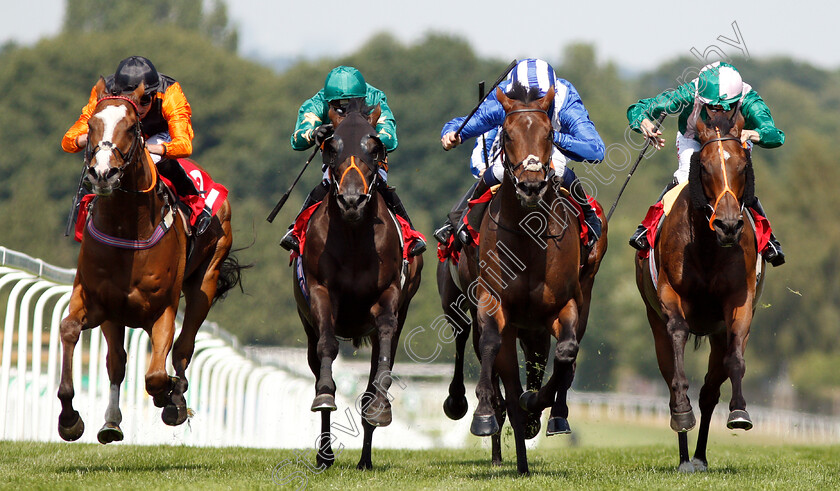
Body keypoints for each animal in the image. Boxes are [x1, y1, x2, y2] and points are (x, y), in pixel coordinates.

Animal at [57, 78, 243, 446]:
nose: (102, 173)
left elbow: (157, 374)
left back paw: (175, 397)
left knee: (183, 348)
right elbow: (70, 329)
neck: (128, 228)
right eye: (91, 124)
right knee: (117, 362)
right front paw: (70, 417)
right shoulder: (97, 301)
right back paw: (111, 422)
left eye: (131, 127)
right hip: (116, 316)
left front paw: (170, 397)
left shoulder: (163, 309)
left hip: (206, 281)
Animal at [292, 98, 424, 470]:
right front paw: (324, 394)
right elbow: (327, 349)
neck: (352, 236)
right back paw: (325, 454)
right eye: (331, 145)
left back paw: (366, 454)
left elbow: (383, 355)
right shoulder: (320, 293)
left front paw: (379, 407)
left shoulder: (389, 296)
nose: (352, 201)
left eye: (374, 146)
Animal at [442, 83, 608, 472]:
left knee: (552, 360)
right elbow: (490, 347)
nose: (531, 185)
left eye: (549, 135)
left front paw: (538, 406)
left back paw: (546, 420)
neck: (529, 238)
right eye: (507, 133)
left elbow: (565, 354)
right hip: (456, 297)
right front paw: (485, 413)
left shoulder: (561, 306)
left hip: (573, 302)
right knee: (467, 340)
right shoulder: (492, 302)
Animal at [636, 111, 768, 472]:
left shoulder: (739, 302)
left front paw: (740, 412)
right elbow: (679, 336)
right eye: (705, 167)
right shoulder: (670, 296)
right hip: (654, 323)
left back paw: (698, 456)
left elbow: (734, 359)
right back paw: (684, 452)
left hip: (717, 332)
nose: (728, 225)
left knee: (709, 391)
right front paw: (682, 413)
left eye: (743, 166)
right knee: (670, 378)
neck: (709, 246)